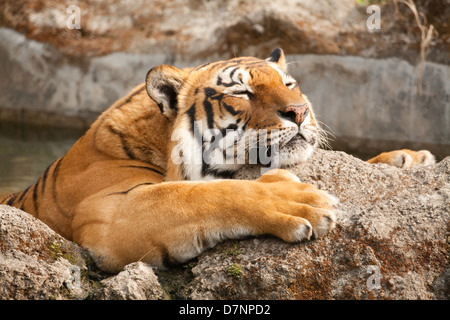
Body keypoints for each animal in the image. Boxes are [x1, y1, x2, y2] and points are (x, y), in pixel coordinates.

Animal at [0, 47, 436, 272]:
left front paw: (410, 158)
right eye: (241, 93)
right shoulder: (108, 211)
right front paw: (299, 201)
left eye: (290, 84)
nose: (300, 111)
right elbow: (204, 194)